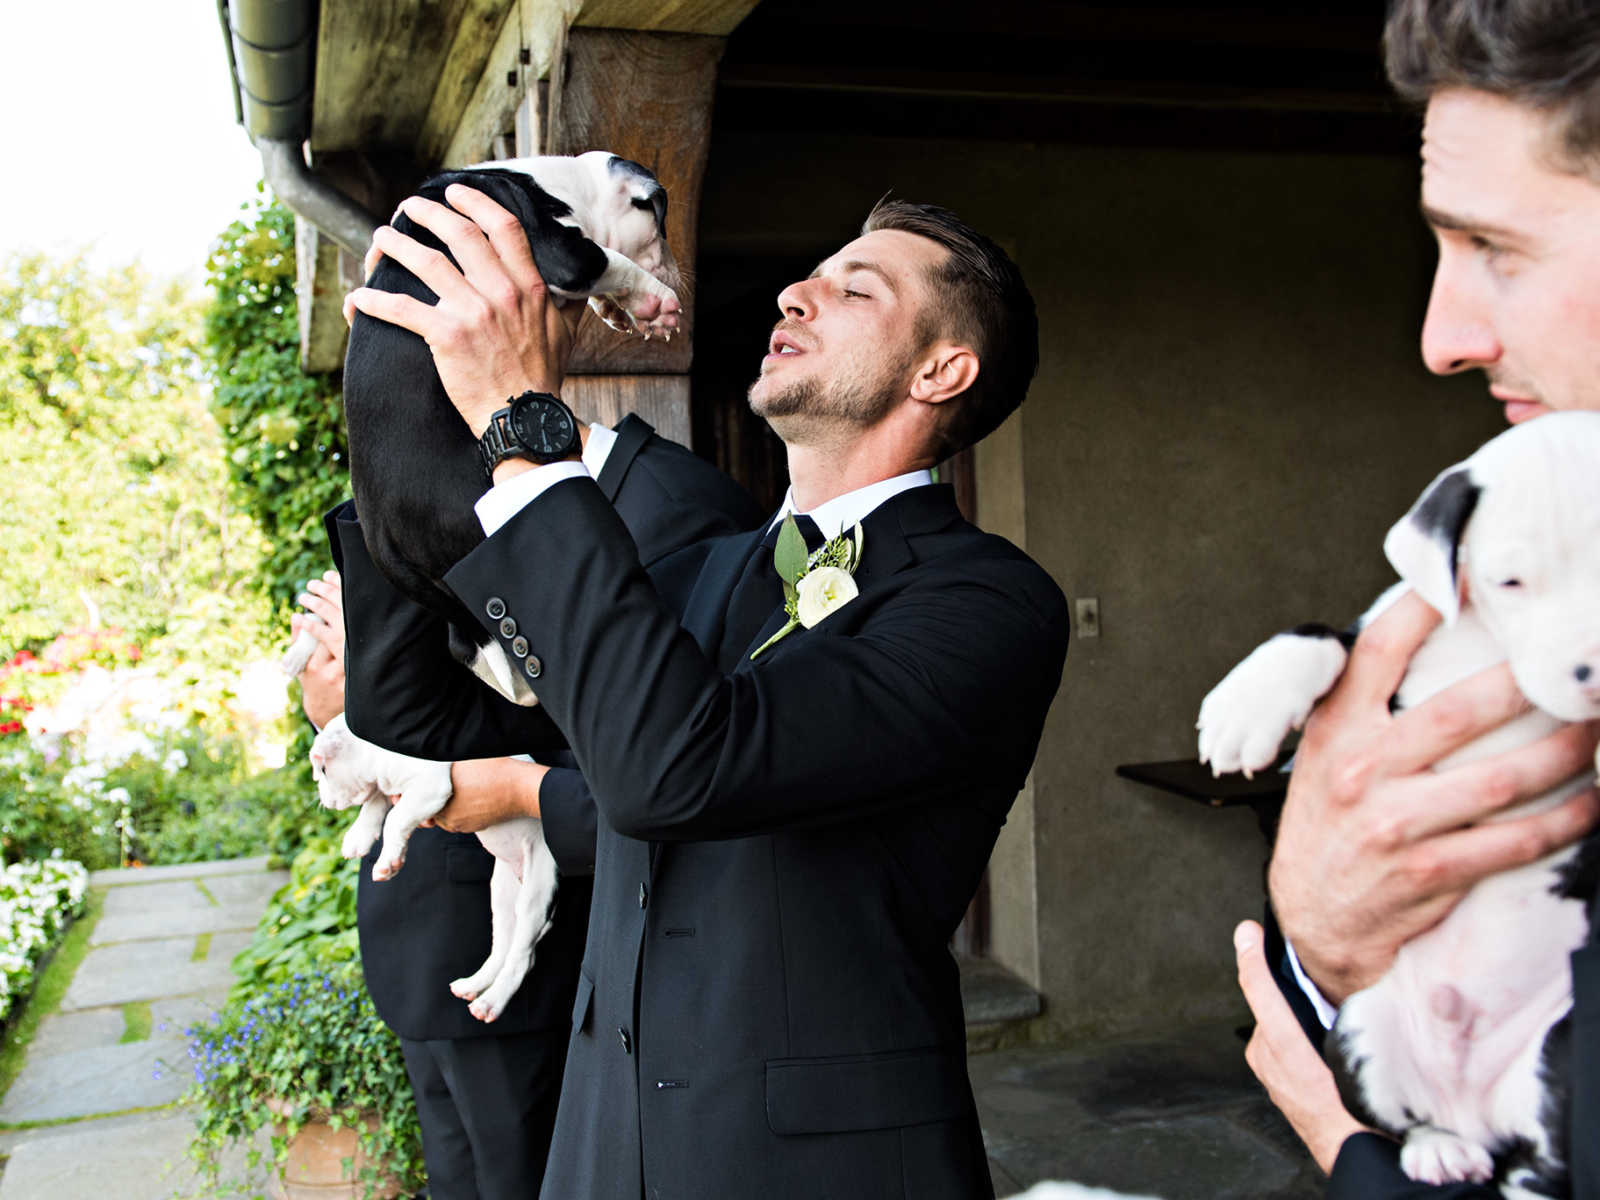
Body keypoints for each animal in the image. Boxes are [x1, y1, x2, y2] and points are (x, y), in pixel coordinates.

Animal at [307, 713, 556, 1024]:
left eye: (323, 772)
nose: (323, 800)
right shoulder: (392, 787)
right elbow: (375, 804)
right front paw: (358, 837)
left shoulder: (430, 785)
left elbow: (394, 819)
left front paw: (387, 862)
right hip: (502, 892)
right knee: (504, 944)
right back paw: (472, 985)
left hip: (536, 890)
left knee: (522, 956)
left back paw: (491, 1002)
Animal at [1196, 409, 1600, 1196]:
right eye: (1511, 580)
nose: (1594, 673)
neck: (1486, 644)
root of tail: (1474, 1111)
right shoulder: (1380, 632)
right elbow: (1319, 634)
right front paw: (1245, 709)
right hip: (1363, 1029)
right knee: (1406, 1121)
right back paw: (1437, 1148)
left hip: (1564, 1041)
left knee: (1543, 1160)